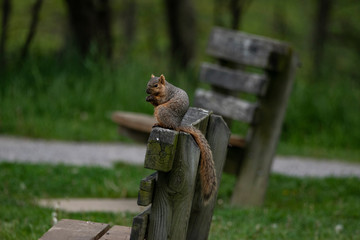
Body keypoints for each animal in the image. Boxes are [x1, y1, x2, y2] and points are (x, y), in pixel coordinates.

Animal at [146, 73, 217, 204]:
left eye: (156, 85)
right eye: (148, 82)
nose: (147, 91)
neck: (166, 88)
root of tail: (177, 125)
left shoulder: (166, 96)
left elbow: (160, 101)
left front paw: (151, 97)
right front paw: (148, 97)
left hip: (162, 111)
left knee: (168, 125)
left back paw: (160, 125)